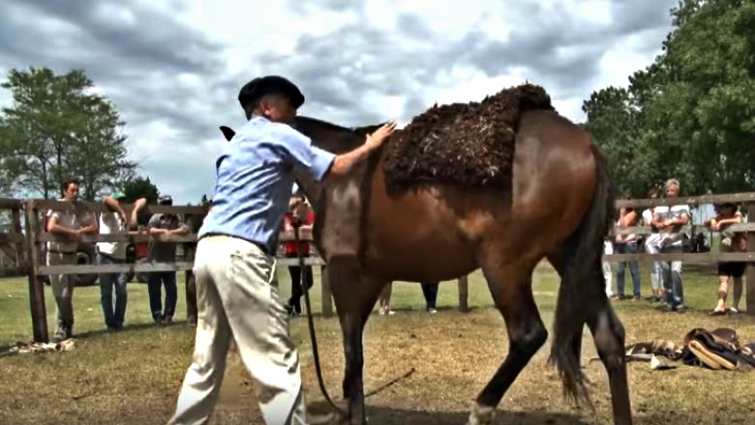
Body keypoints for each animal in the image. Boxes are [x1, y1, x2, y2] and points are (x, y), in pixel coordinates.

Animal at [218, 107, 632, 425]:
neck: (341, 174)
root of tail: (586, 144)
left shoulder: (347, 276)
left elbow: (354, 359)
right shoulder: (372, 279)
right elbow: (355, 363)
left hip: (505, 267)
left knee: (528, 335)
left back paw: (481, 409)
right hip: (574, 260)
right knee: (609, 337)